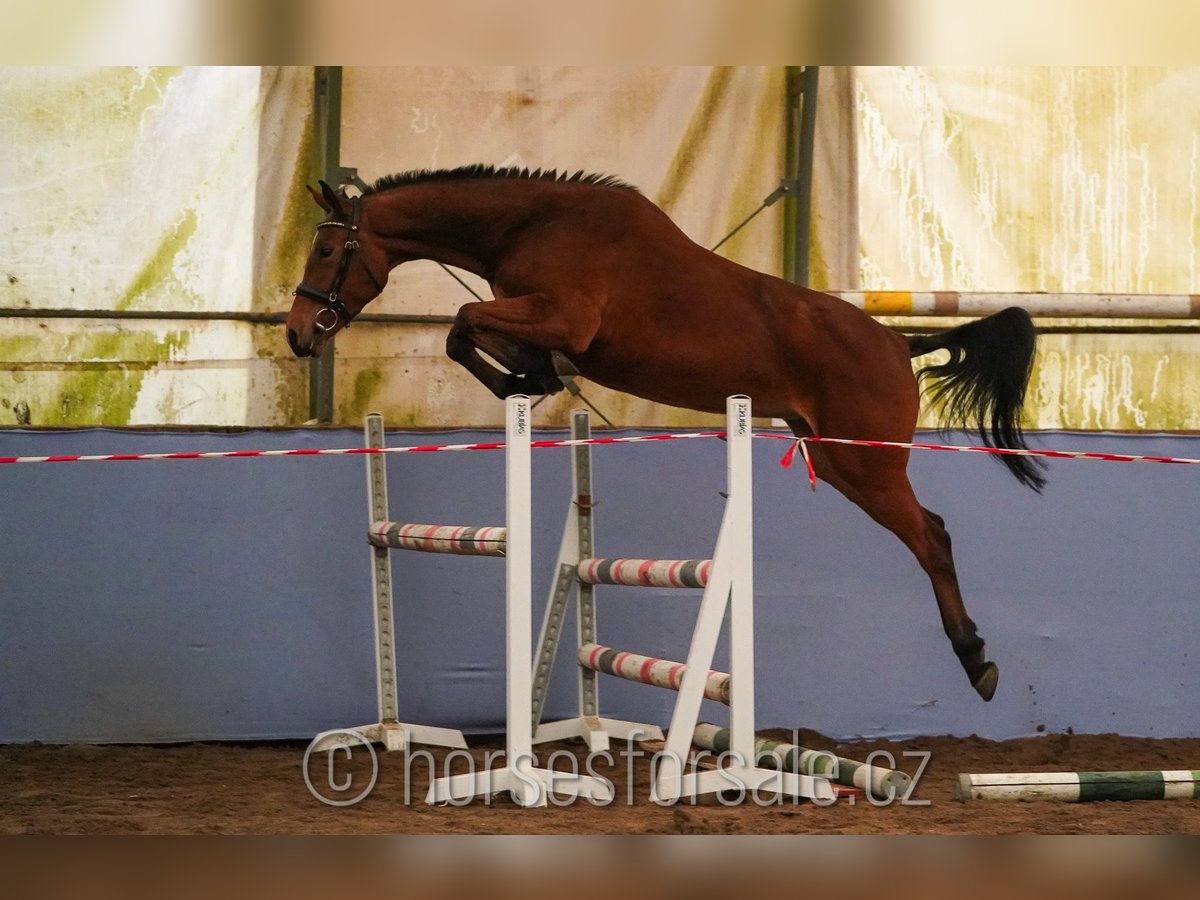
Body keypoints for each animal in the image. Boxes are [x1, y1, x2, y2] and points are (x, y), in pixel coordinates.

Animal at [285, 168, 1046, 705]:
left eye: (325, 249)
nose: (296, 335)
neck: (531, 223)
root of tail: (897, 342)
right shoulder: (543, 321)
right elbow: (468, 332)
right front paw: (530, 377)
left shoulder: (565, 319)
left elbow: (465, 322)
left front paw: (525, 379)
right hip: (837, 464)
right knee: (929, 530)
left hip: (868, 467)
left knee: (933, 539)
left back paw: (976, 660)